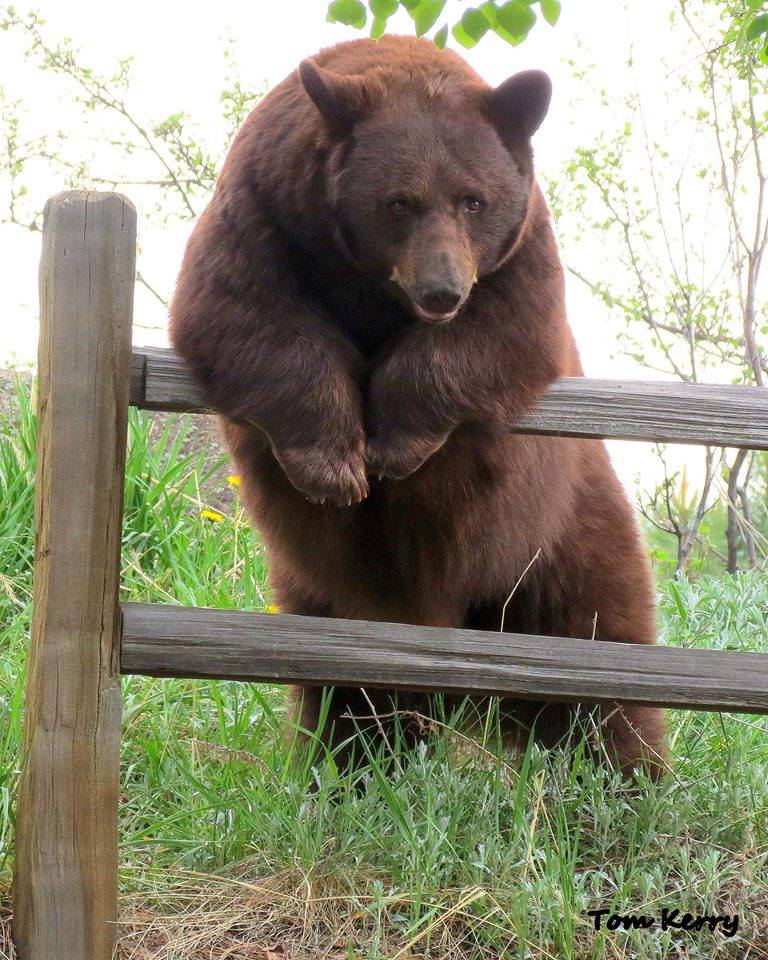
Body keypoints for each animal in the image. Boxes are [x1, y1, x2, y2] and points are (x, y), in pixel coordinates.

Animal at [169, 34, 667, 779]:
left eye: (474, 200)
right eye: (399, 201)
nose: (441, 291)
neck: (367, 281)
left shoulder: (522, 254)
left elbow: (495, 335)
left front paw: (392, 447)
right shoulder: (262, 212)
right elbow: (243, 315)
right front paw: (335, 466)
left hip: (559, 534)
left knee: (599, 649)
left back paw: (624, 775)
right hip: (324, 598)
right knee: (347, 694)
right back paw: (355, 765)